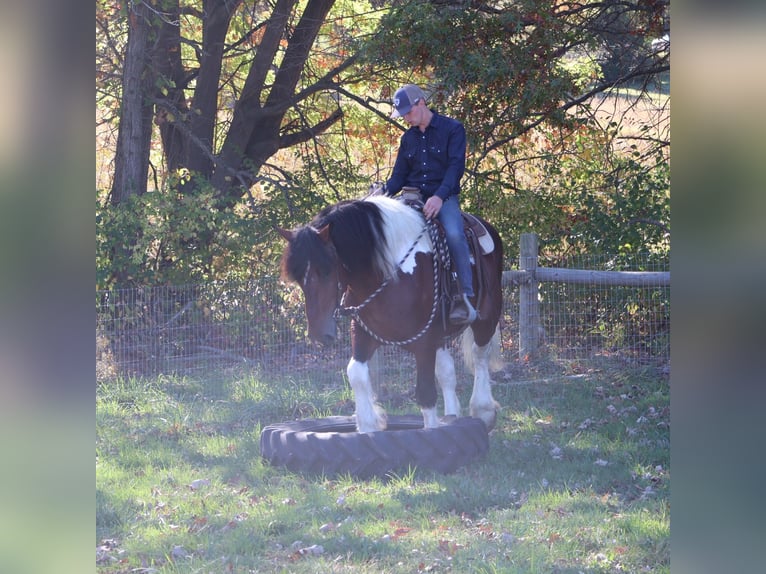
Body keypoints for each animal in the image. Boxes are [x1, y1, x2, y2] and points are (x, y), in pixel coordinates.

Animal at [278, 195, 503, 433]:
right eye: (298, 277)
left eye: (327, 270)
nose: (319, 334)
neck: (389, 275)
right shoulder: (364, 333)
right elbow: (356, 374)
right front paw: (368, 425)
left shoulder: (424, 343)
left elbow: (425, 394)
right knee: (447, 371)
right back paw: (452, 416)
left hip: (487, 318)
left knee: (479, 356)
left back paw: (483, 410)